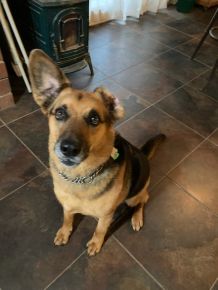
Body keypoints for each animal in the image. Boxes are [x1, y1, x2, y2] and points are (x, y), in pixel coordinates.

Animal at [29, 49, 165, 256]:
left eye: (94, 119)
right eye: (60, 113)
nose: (68, 149)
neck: (79, 177)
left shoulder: (105, 215)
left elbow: (100, 229)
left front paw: (96, 243)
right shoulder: (67, 206)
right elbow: (67, 218)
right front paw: (65, 231)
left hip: (135, 196)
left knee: (143, 200)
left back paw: (136, 217)